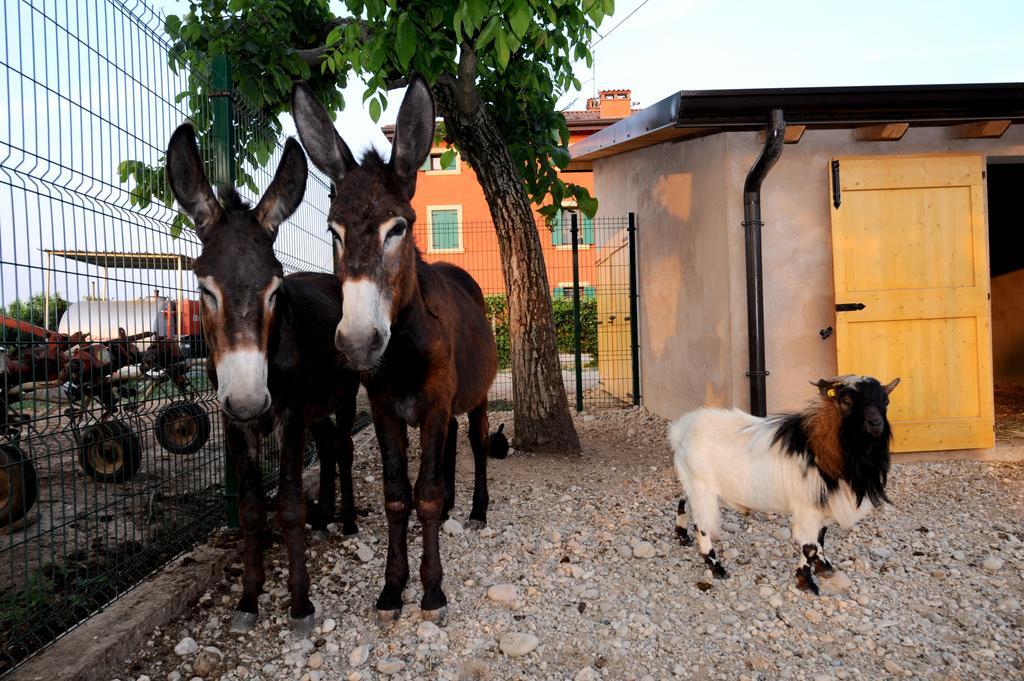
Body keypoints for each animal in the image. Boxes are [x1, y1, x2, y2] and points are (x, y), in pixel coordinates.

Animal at [671, 374, 897, 593]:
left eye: (886, 401)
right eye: (846, 401)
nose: (876, 424)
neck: (818, 447)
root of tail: (681, 428)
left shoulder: (822, 504)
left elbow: (821, 537)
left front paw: (823, 566)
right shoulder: (807, 507)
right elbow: (810, 546)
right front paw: (806, 582)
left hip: (692, 482)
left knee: (683, 501)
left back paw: (682, 535)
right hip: (702, 488)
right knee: (701, 524)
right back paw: (716, 567)